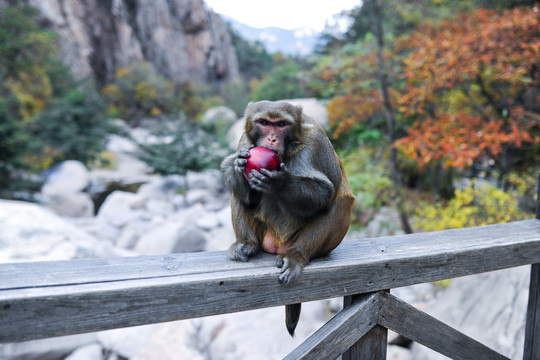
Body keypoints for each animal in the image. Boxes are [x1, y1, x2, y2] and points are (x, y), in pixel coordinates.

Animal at [219, 100, 354, 336]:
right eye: (264, 123)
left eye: (281, 124)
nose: (272, 139)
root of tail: (277, 245)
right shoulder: (244, 141)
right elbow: (243, 189)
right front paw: (238, 166)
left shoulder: (316, 142)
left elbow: (324, 191)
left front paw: (280, 183)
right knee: (238, 194)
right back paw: (247, 244)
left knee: (340, 202)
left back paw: (297, 255)